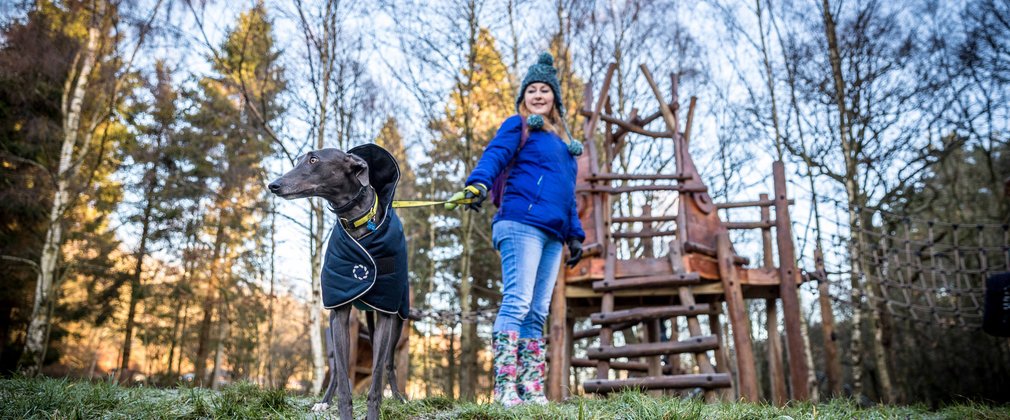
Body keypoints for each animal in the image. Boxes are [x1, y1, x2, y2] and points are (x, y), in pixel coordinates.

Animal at [270, 145, 412, 420]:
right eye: (299, 160)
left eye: (313, 160)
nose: (274, 185)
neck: (358, 224)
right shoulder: (340, 310)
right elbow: (344, 380)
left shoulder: (386, 312)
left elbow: (377, 376)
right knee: (336, 368)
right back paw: (323, 401)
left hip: (399, 317)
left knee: (388, 362)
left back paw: (399, 397)